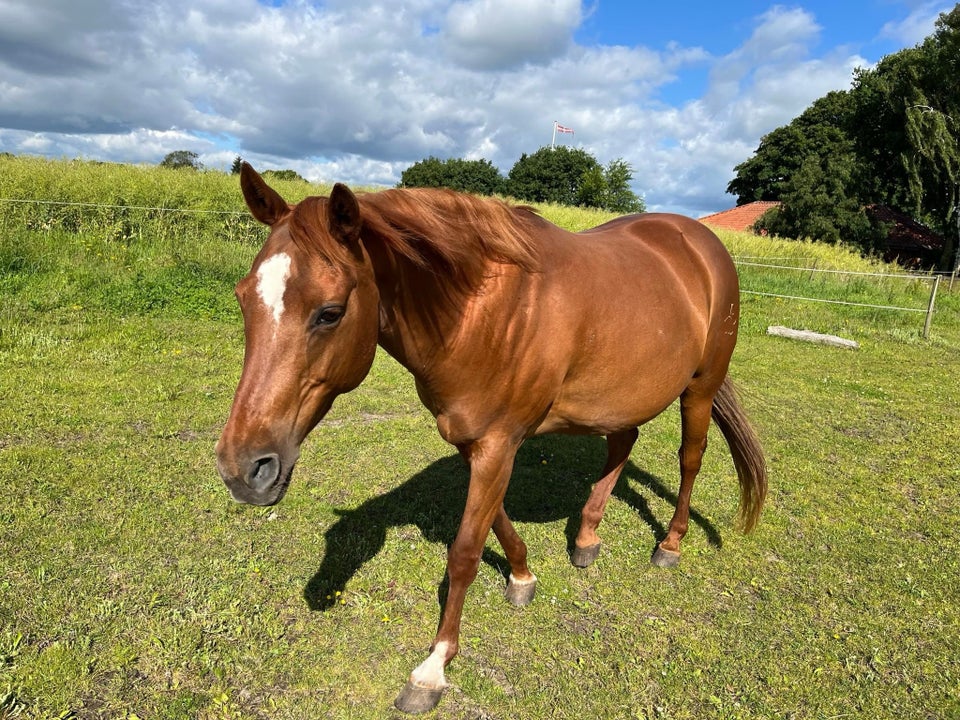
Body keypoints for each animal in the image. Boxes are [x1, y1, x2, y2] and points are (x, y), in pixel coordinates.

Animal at [218, 165, 764, 716]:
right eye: (242, 299)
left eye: (329, 313)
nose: (242, 469)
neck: (481, 314)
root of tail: (699, 241)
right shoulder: (475, 440)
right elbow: (494, 520)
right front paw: (522, 575)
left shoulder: (499, 442)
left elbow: (464, 552)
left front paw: (434, 667)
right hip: (618, 395)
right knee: (622, 443)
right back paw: (586, 537)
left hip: (700, 388)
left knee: (690, 459)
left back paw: (670, 543)